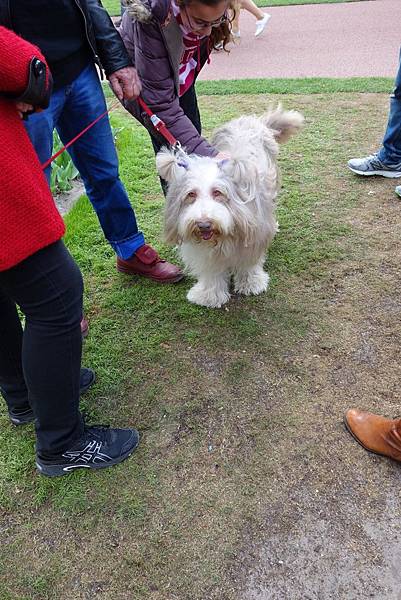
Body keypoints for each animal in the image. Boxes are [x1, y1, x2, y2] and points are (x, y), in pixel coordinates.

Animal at [156, 105, 304, 308]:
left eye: (218, 192)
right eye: (191, 194)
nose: (203, 224)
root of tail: (251, 119)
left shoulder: (253, 235)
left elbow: (248, 263)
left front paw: (251, 283)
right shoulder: (205, 252)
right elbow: (211, 270)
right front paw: (209, 295)